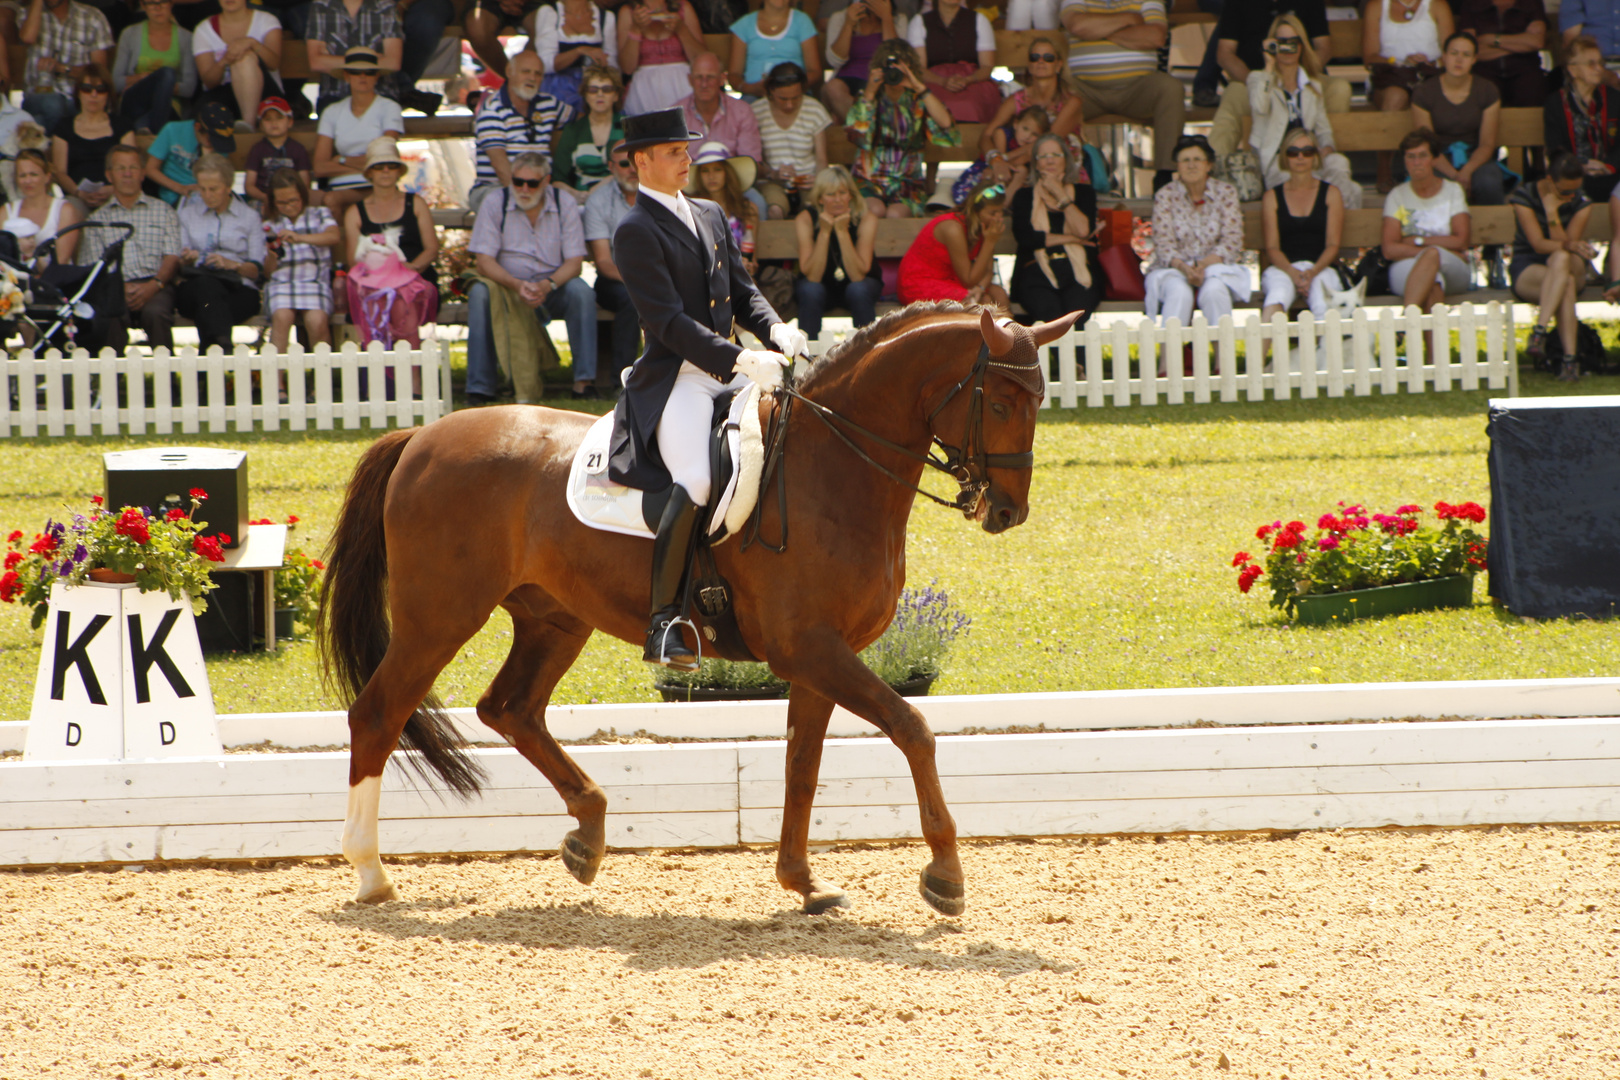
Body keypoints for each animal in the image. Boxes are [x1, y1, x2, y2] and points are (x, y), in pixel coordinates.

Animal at [315, 302, 1075, 913]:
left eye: (1037, 402)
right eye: (1000, 404)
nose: (1006, 511)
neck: (835, 466)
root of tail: (420, 438)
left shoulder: (819, 658)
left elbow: (803, 765)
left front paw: (803, 882)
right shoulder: (811, 648)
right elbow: (913, 730)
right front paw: (945, 877)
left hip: (554, 618)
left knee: (510, 709)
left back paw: (587, 834)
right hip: (439, 616)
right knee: (378, 714)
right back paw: (372, 873)